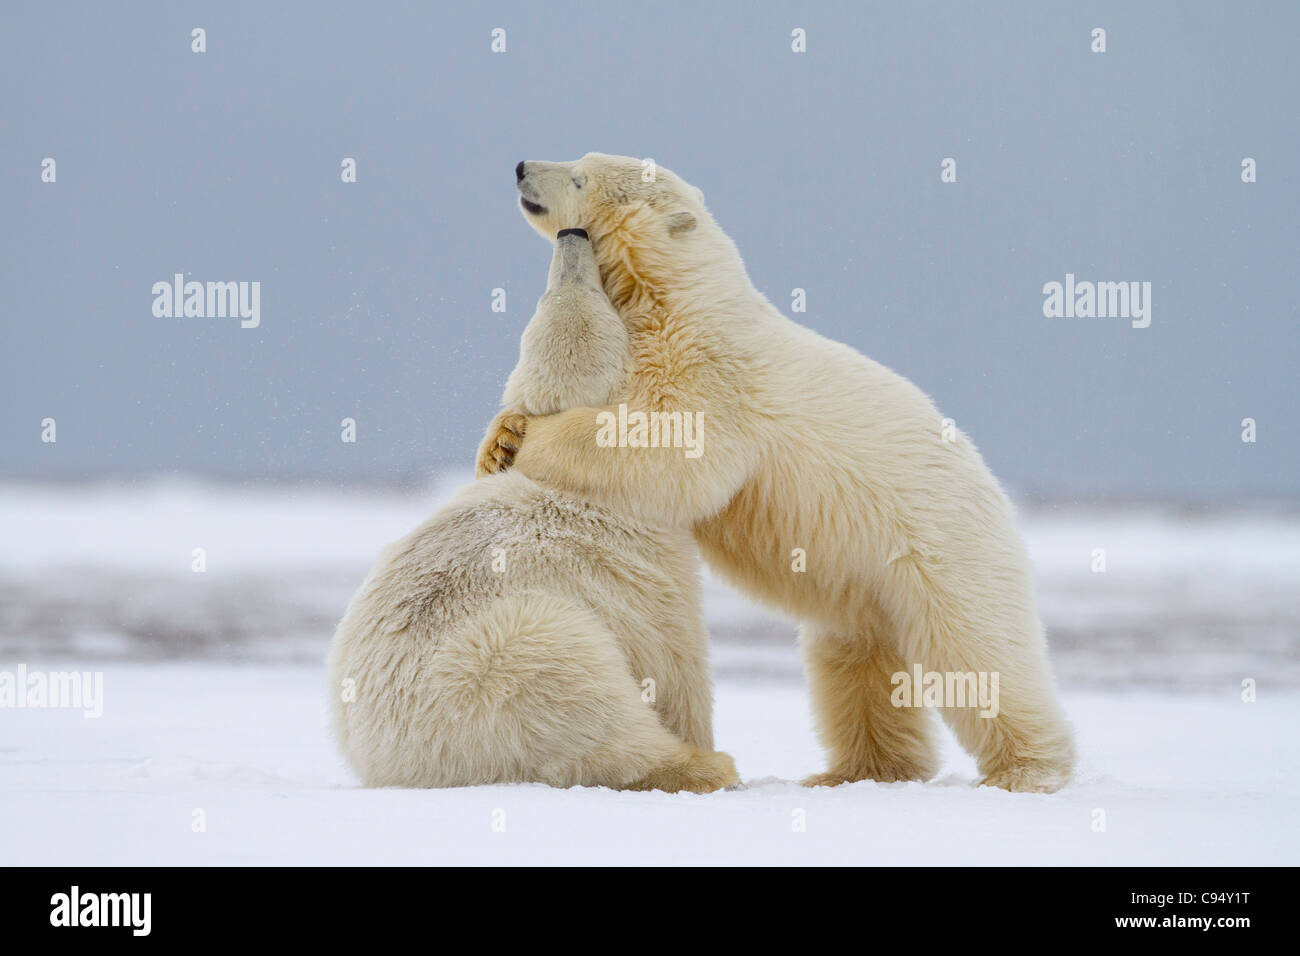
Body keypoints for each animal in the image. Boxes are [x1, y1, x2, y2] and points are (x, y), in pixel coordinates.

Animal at [330, 230, 738, 790]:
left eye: (546, 296)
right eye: (600, 302)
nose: (573, 234)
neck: (570, 483)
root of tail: (395, 760)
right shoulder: (650, 571)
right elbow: (676, 662)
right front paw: (703, 741)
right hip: (507, 662)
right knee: (586, 704)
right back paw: (703, 766)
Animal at [478, 153, 1076, 790]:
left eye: (580, 177)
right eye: (579, 161)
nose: (521, 166)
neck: (678, 295)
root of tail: (995, 488)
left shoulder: (707, 368)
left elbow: (672, 444)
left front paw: (534, 441)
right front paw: (499, 442)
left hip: (942, 548)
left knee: (976, 647)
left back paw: (1025, 769)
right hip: (864, 582)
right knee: (852, 658)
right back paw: (855, 770)